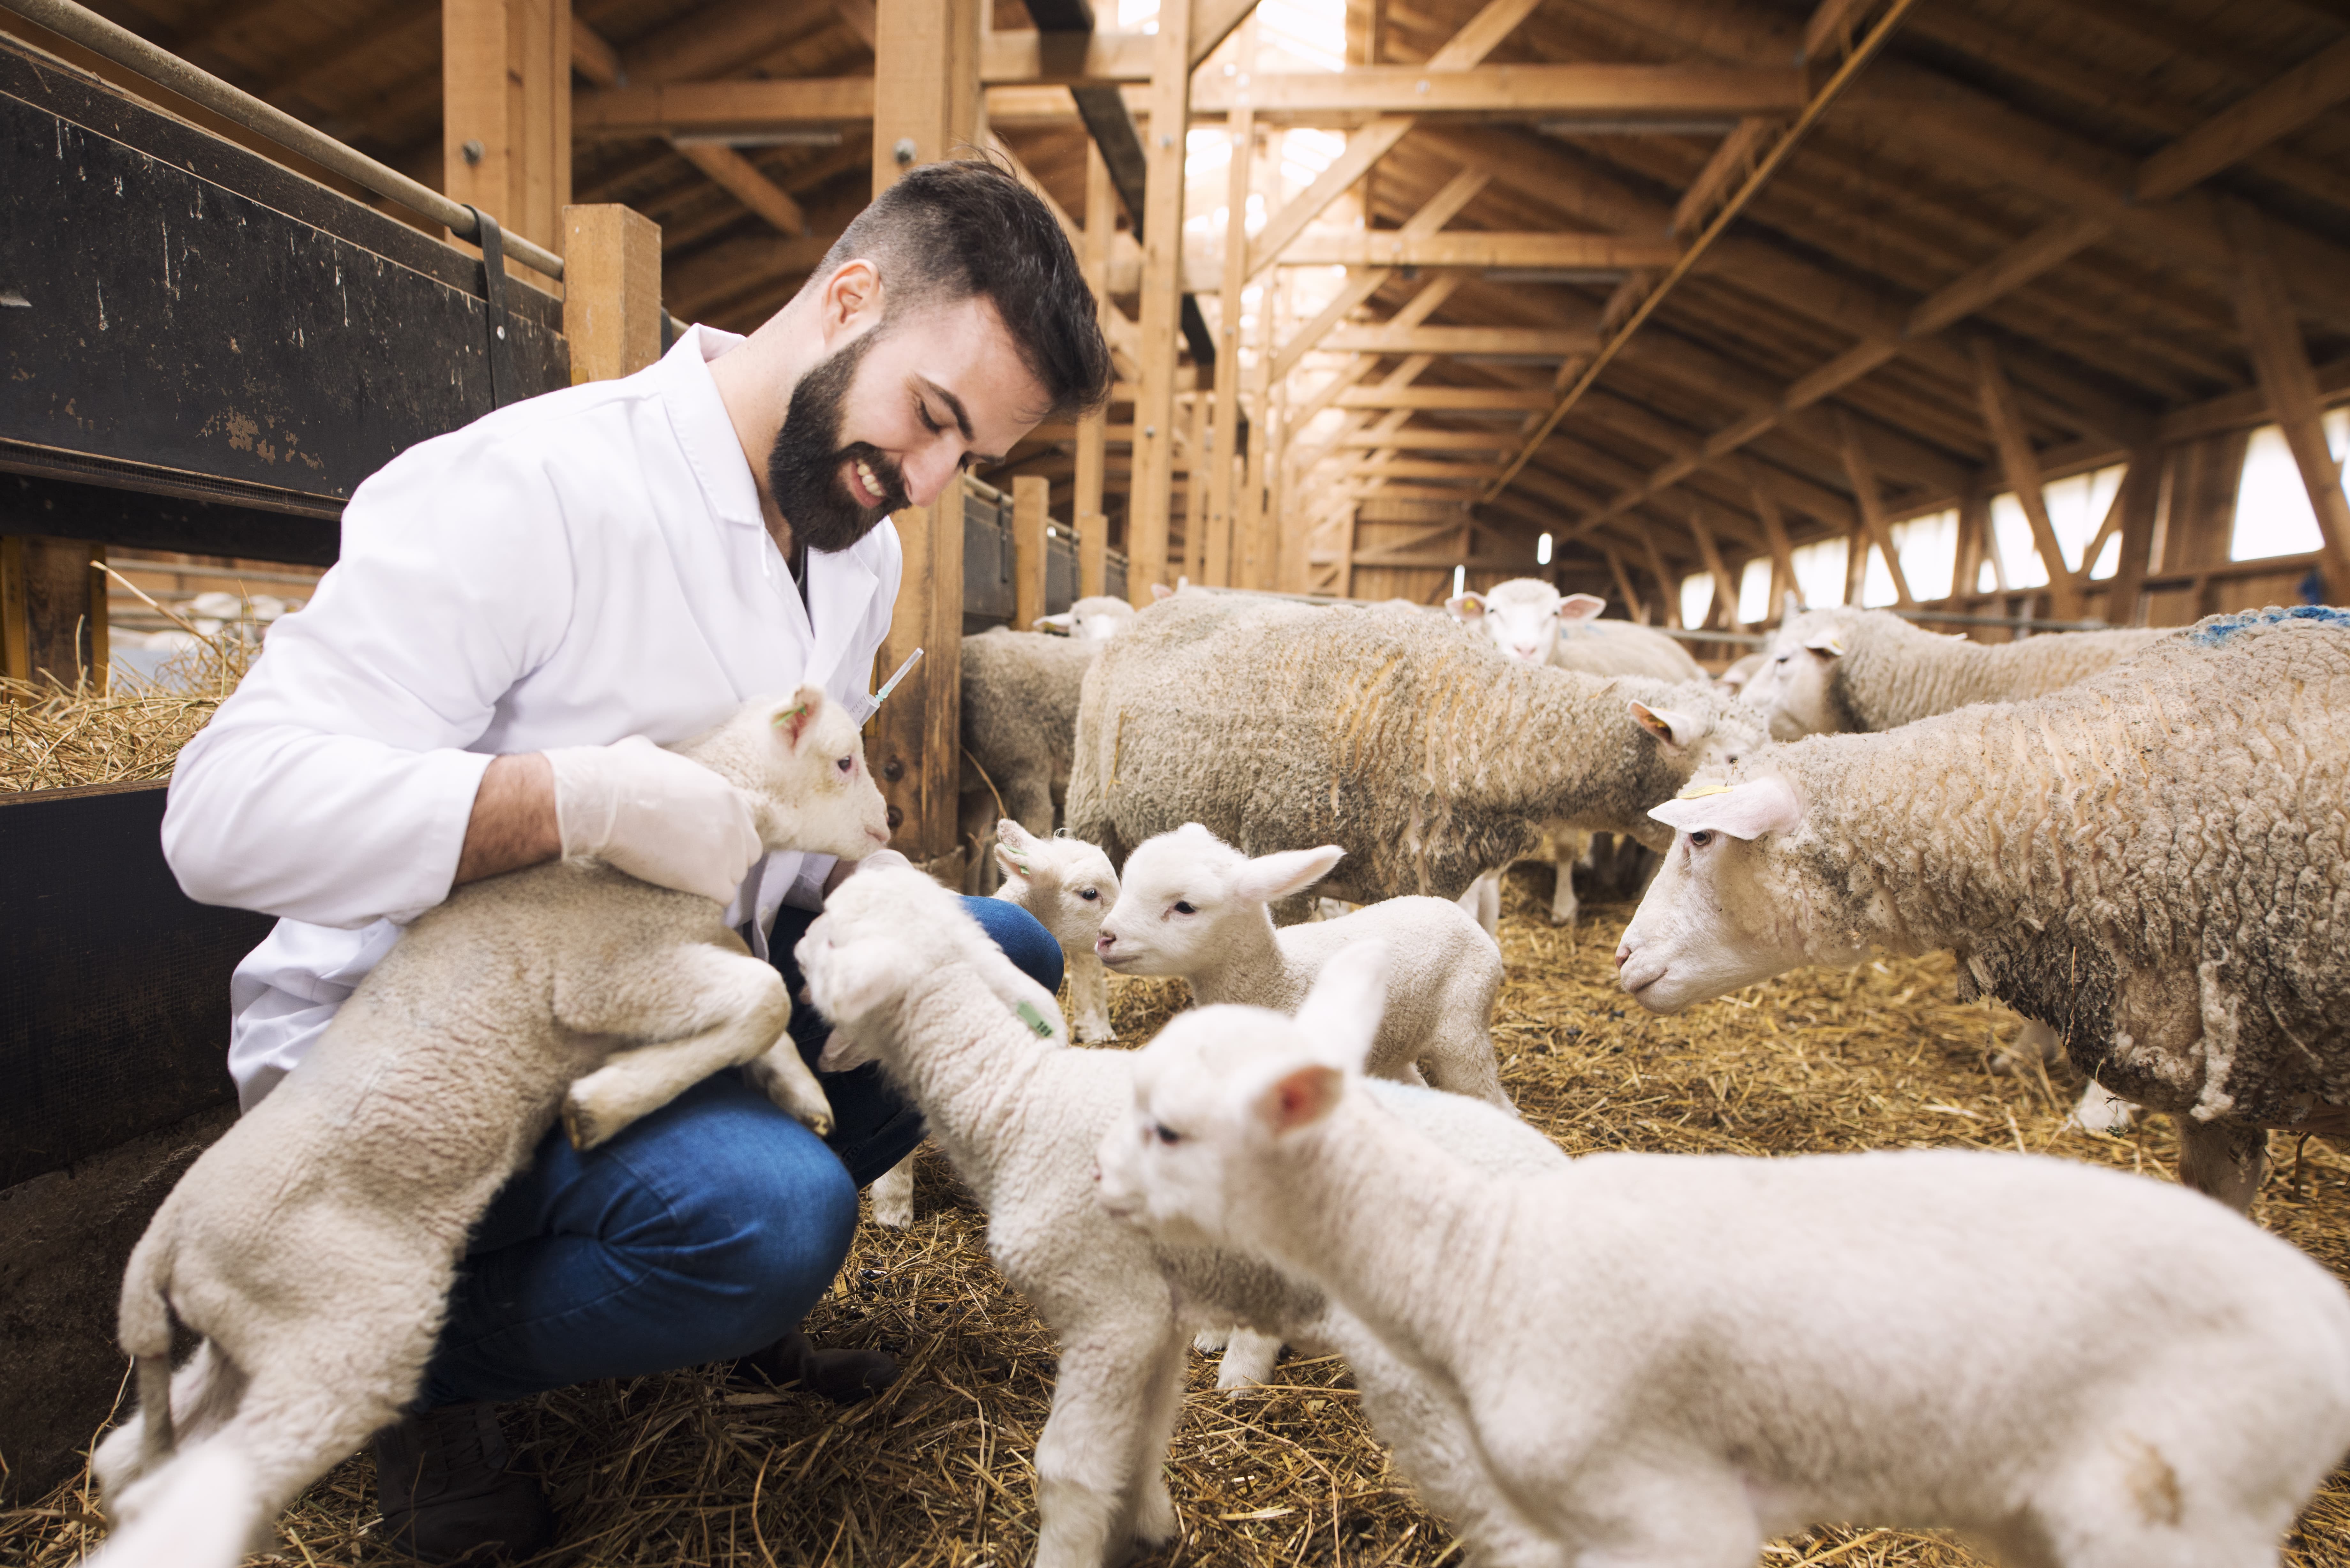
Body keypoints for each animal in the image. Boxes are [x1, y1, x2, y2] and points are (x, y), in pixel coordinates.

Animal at [85, 691, 888, 1568]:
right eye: (843, 759)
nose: (887, 827)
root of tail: (165, 1240)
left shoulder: (672, 956)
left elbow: (758, 998)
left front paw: (798, 1089)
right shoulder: (608, 970)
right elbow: (763, 992)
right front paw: (602, 1101)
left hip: (250, 1333)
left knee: (127, 1457)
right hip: (340, 1321)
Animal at [799, 870, 1570, 1568]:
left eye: (833, 932)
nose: (794, 942)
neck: (1016, 1099)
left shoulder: (1107, 1308)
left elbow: (1069, 1470)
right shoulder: (1156, 1316)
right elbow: (1143, 1440)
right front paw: (1144, 1529)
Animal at [1095, 827, 1504, 1109]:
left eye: (1184, 907)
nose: (1105, 938)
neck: (1278, 982)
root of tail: (1456, 913)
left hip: (1462, 1028)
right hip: (1395, 1040)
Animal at [1109, 945, 2350, 1568]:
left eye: (1167, 1128)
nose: (1104, 1189)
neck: (1483, 1257)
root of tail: (2320, 1313)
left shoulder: (1660, 1508)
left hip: (2177, 1503)